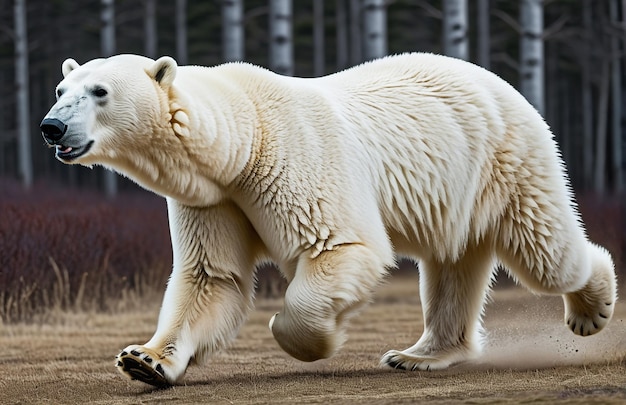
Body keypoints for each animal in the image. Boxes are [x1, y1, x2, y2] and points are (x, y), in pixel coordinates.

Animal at [41, 52, 616, 386]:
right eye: (60, 91)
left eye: (99, 92)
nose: (51, 127)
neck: (242, 141)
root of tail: (504, 83)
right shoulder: (214, 200)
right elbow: (211, 278)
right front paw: (144, 360)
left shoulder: (292, 160)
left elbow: (339, 247)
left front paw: (303, 335)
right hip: (457, 190)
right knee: (452, 263)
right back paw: (418, 355)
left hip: (505, 160)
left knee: (543, 250)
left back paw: (592, 308)